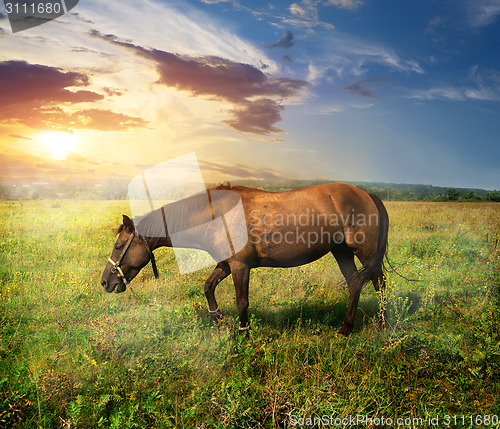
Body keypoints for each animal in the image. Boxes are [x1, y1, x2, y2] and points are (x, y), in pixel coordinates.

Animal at [101, 181, 388, 334]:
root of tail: (367, 194)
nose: (105, 282)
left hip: (364, 252)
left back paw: (381, 326)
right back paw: (348, 327)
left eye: (118, 245)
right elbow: (208, 287)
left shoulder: (240, 267)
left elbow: (242, 302)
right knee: (355, 284)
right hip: (342, 252)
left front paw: (243, 332)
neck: (216, 215)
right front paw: (219, 320)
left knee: (378, 284)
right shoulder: (225, 265)